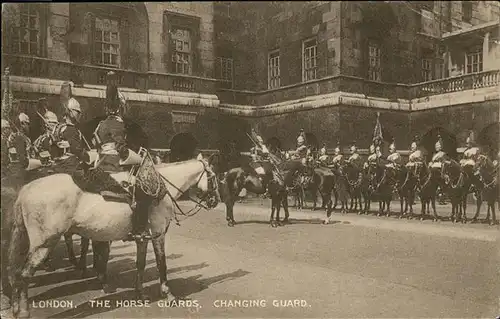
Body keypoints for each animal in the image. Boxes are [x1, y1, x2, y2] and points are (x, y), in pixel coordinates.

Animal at [3, 157, 219, 318]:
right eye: (214, 177)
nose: (215, 201)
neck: (160, 186)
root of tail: (25, 189)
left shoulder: (142, 238)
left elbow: (140, 264)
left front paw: (140, 293)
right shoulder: (158, 234)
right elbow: (161, 264)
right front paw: (168, 294)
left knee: (14, 273)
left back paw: (15, 307)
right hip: (44, 244)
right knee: (23, 275)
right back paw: (24, 311)